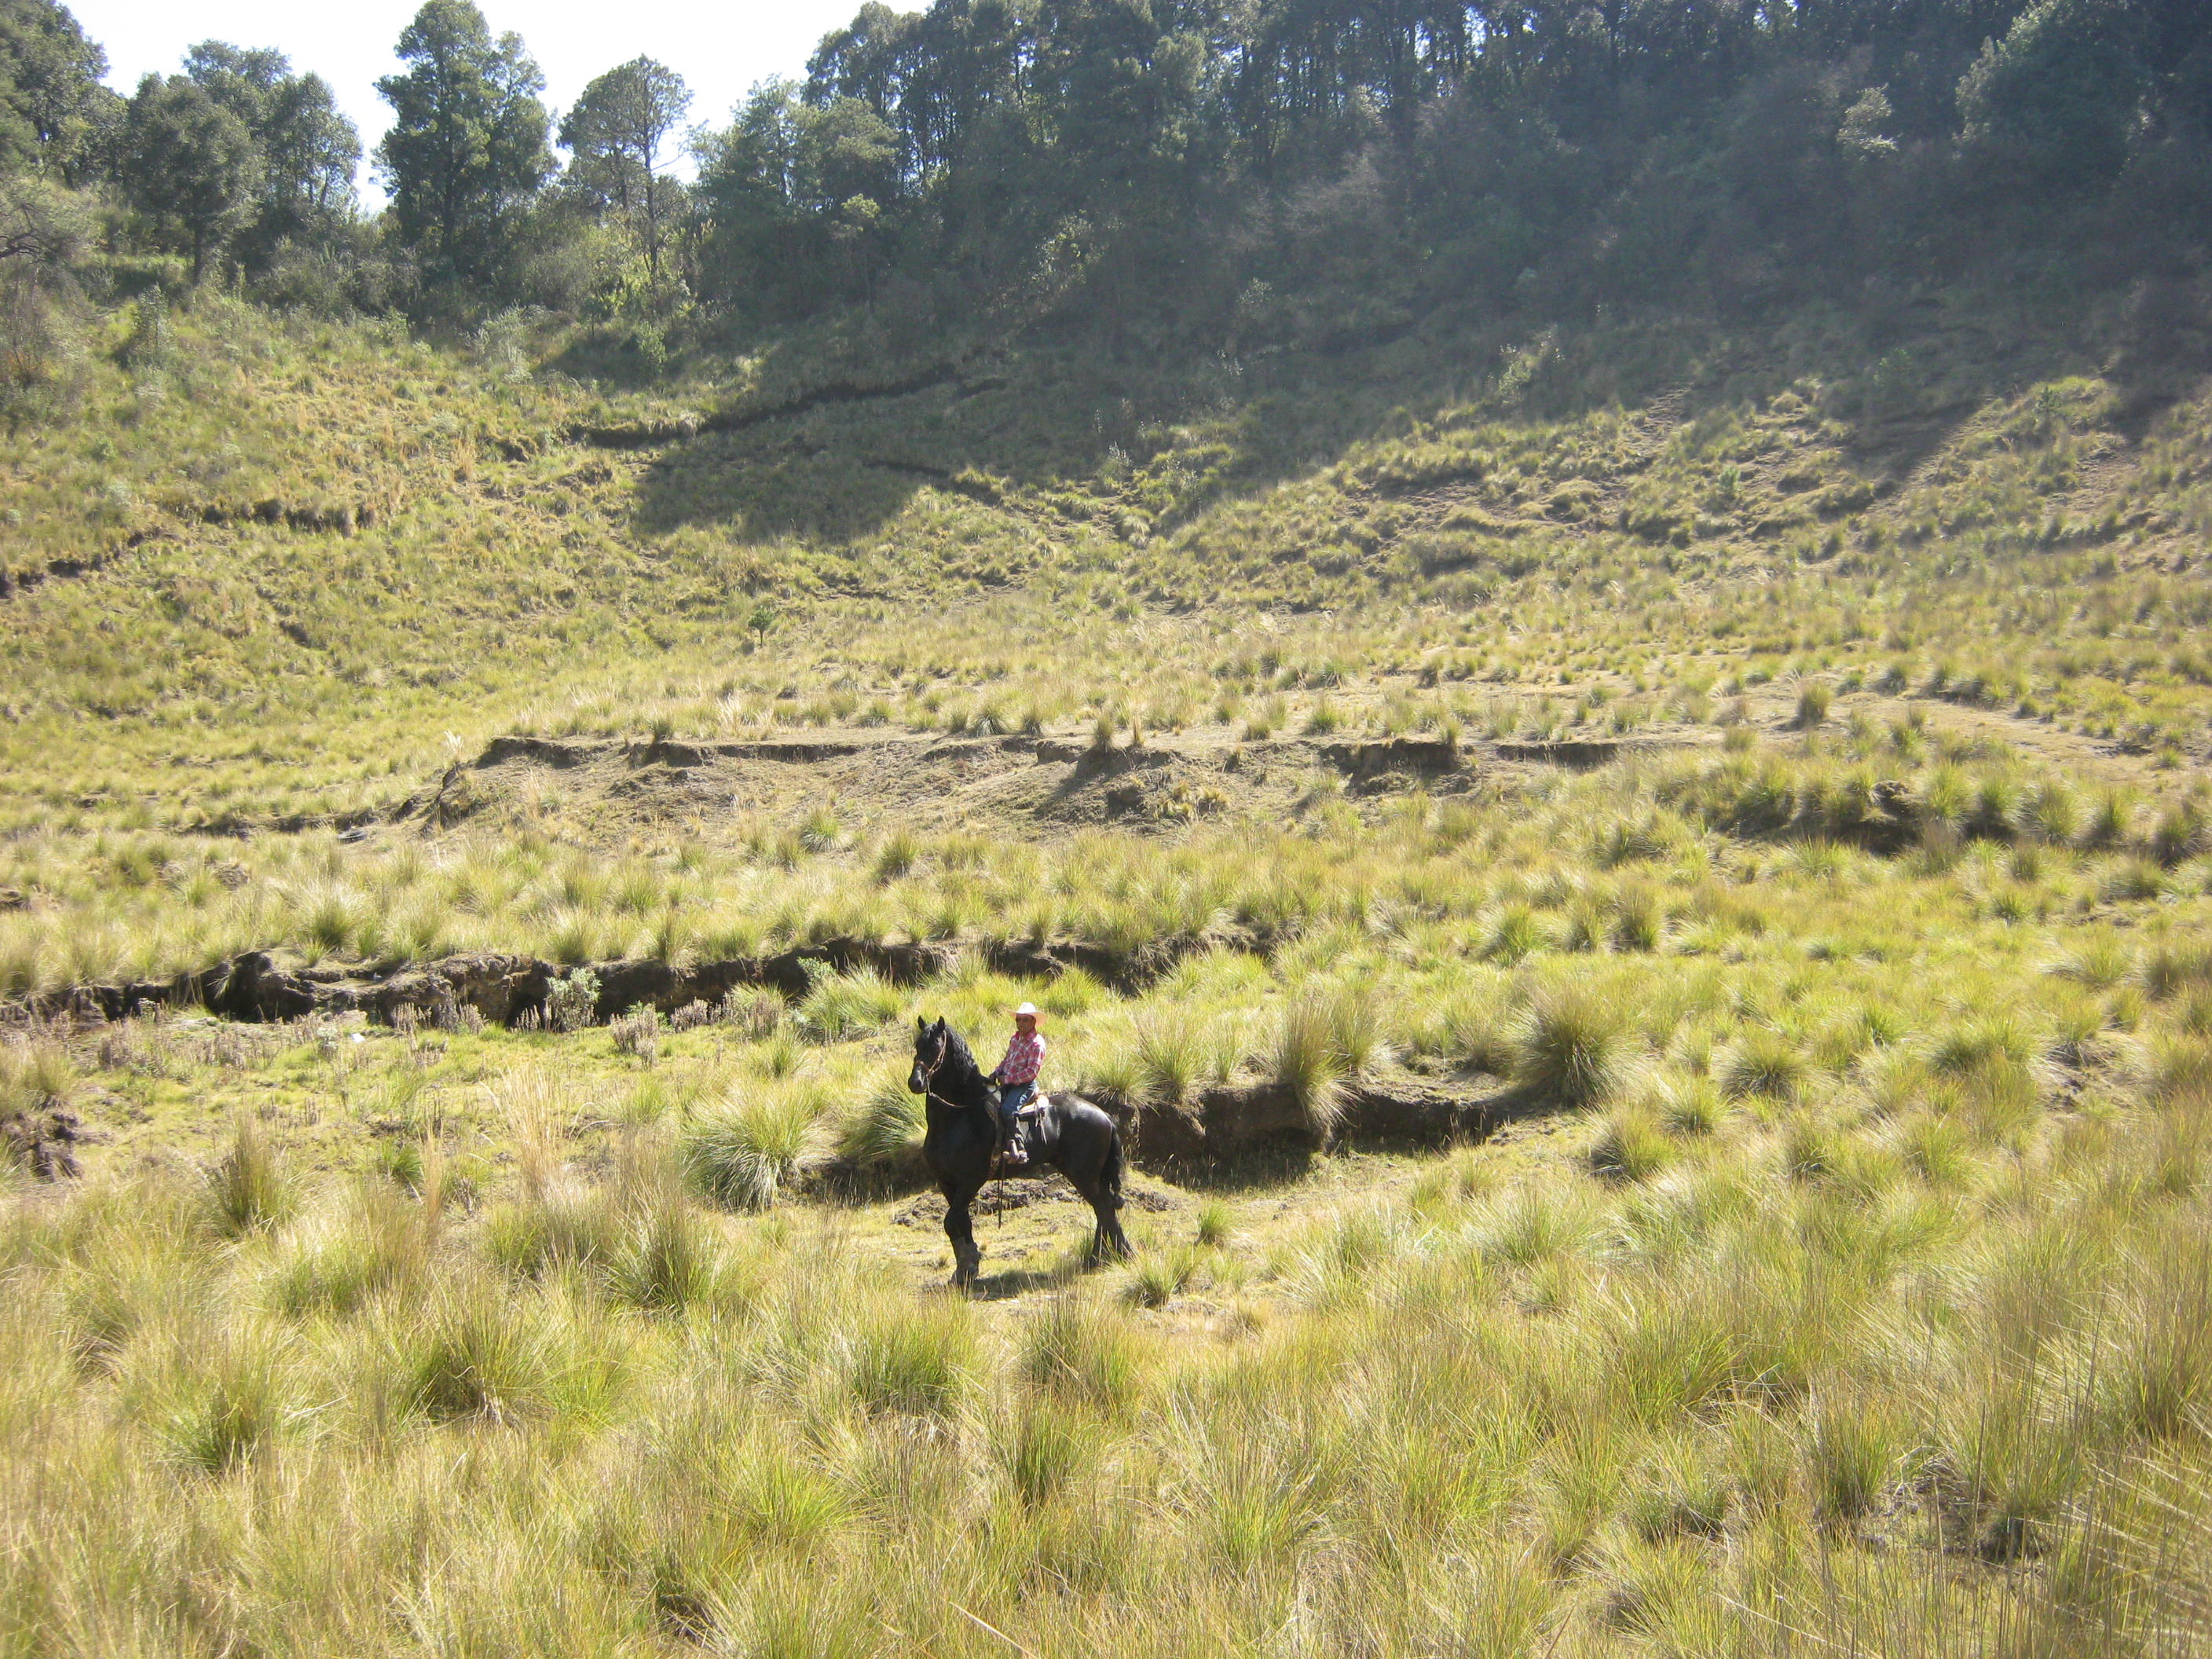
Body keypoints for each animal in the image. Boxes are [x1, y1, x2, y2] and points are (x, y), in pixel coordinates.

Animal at [906, 1021, 1132, 1291]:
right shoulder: (947, 1183)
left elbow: (951, 1222)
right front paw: (964, 1271)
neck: (960, 1116)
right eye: (918, 1045)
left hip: (1084, 1175)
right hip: (1086, 1175)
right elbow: (961, 1223)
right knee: (1103, 1208)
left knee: (1104, 1208)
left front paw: (968, 1267)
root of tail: (1104, 1115)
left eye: (936, 1046)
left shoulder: (971, 1181)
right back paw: (1100, 1257)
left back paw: (1117, 1254)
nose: (916, 1082)